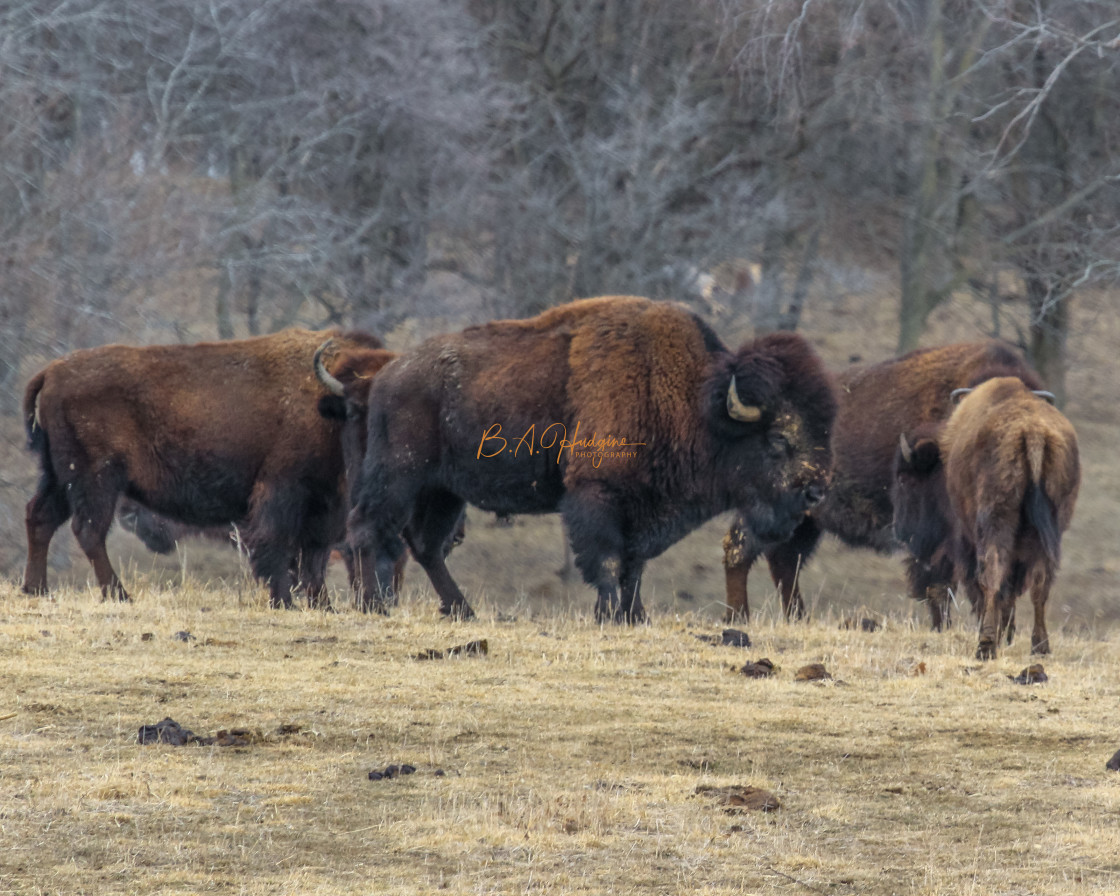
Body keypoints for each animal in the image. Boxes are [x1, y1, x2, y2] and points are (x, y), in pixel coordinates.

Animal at [19, 329, 380, 609]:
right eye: (353, 410)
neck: (324, 403)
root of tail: (51, 372)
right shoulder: (282, 491)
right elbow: (278, 547)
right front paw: (284, 602)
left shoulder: (324, 510)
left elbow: (313, 558)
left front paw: (324, 607)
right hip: (95, 479)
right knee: (88, 530)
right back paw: (119, 595)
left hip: (59, 477)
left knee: (41, 517)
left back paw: (37, 590)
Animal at [342, 293, 842, 622]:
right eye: (778, 439)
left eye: (825, 429)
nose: (816, 491)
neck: (693, 400)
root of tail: (388, 374)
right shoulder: (596, 496)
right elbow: (607, 561)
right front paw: (608, 613)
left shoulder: (644, 511)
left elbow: (635, 566)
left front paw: (634, 616)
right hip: (399, 475)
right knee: (369, 528)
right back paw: (373, 605)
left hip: (444, 491)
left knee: (426, 545)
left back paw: (461, 610)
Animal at [721, 340, 1043, 627]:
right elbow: (938, 584)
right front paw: (945, 628)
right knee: (740, 548)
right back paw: (739, 617)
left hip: (806, 520)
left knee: (784, 560)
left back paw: (797, 618)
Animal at [887, 374, 1079, 663]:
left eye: (903, 479)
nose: (900, 530)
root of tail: (1032, 432)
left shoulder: (964, 540)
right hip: (1051, 527)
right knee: (1040, 583)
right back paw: (1040, 648)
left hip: (993, 523)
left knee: (992, 573)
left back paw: (986, 646)